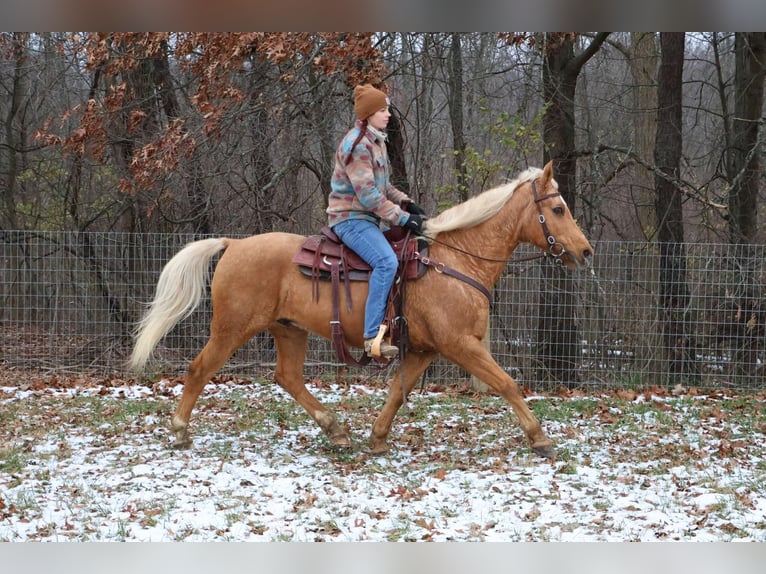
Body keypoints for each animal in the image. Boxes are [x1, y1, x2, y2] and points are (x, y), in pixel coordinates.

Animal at [130, 161, 592, 460]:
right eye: (557, 209)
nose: (585, 252)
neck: (455, 260)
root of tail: (234, 244)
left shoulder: (424, 350)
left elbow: (396, 394)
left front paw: (378, 438)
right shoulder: (461, 345)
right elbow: (507, 384)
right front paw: (539, 439)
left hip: (289, 329)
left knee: (288, 377)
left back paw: (336, 430)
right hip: (232, 329)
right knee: (199, 370)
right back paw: (180, 431)